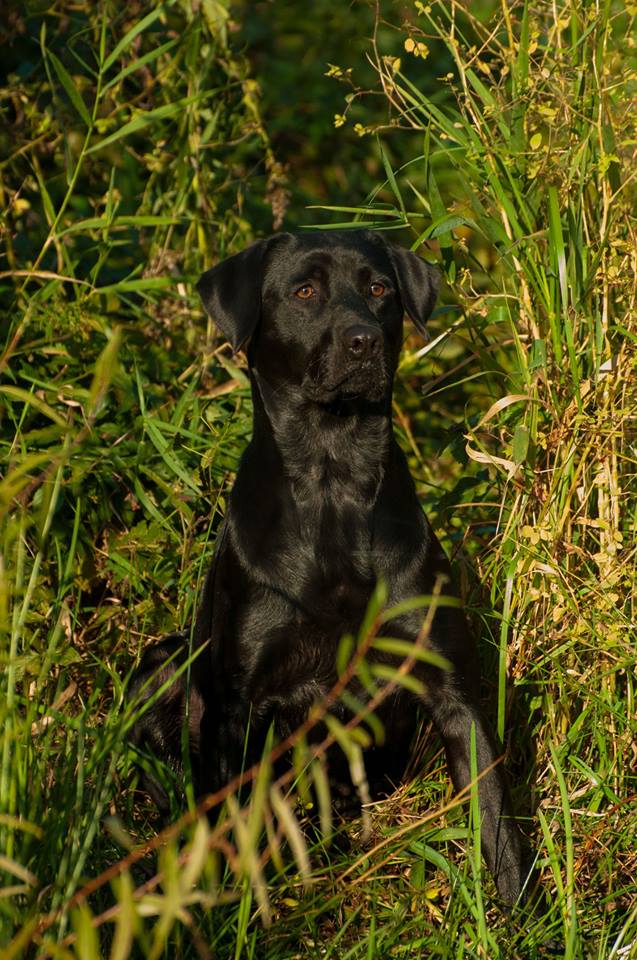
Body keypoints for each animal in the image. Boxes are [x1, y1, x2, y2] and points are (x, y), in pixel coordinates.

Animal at [133, 232, 528, 908]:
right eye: (304, 291)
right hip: (162, 663)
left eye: (379, 288)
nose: (364, 340)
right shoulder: (238, 706)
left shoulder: (452, 691)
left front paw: (525, 912)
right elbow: (233, 823)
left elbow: (497, 822)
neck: (333, 481)